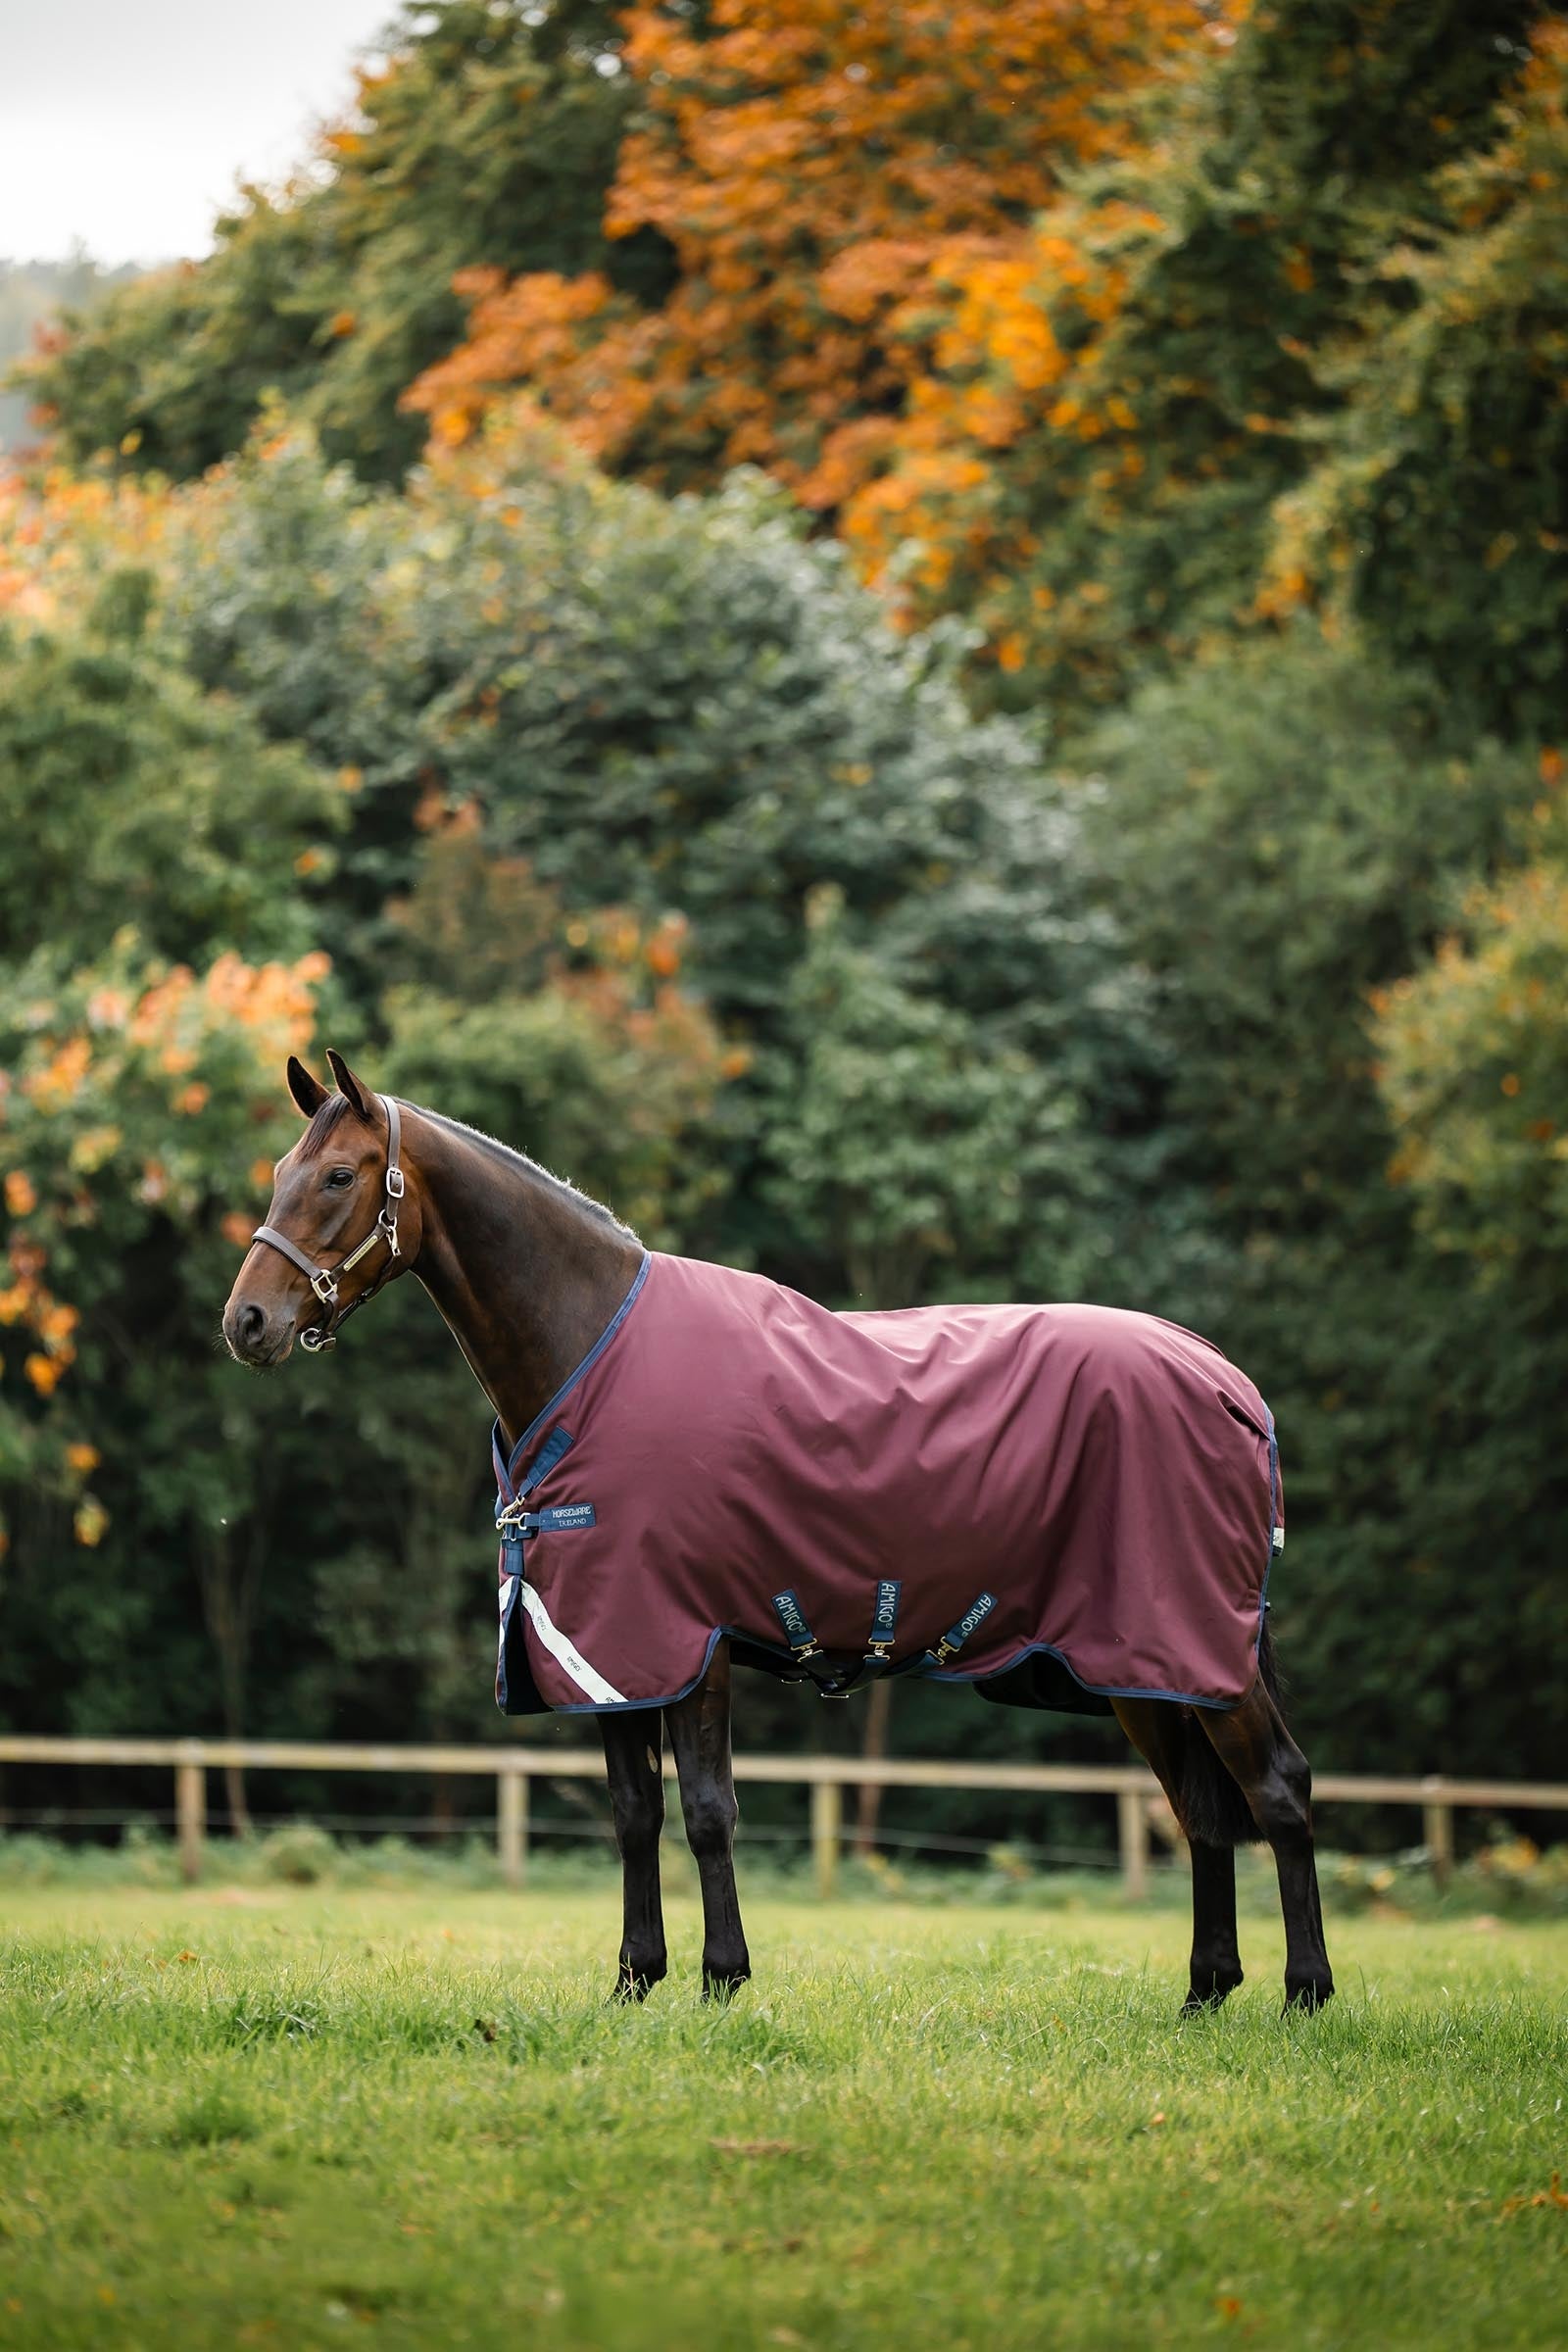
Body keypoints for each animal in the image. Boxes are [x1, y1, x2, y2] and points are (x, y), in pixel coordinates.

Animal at [222, 1051, 1334, 2016]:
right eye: (277, 1174)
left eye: (337, 1176)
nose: (246, 1324)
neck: (588, 1349)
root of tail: (1228, 1384)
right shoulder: (607, 1650)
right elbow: (634, 1815)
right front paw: (635, 1981)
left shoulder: (687, 1639)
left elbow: (708, 1813)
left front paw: (723, 1979)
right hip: (1143, 1670)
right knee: (1199, 1809)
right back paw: (1203, 1994)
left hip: (1196, 1651)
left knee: (1276, 1790)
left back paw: (1303, 1996)